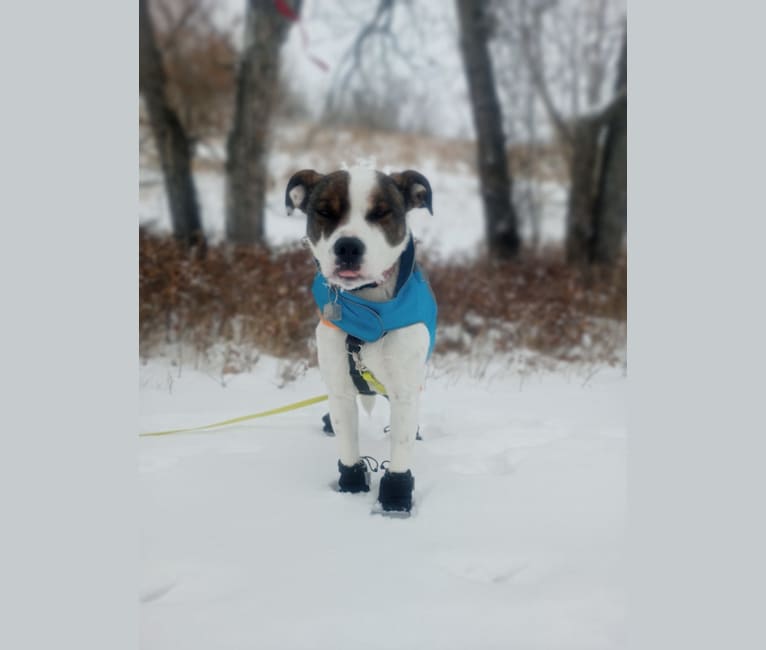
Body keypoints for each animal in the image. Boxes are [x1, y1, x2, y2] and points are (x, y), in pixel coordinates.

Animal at [286, 166, 438, 512]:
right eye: (325, 212)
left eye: (381, 213)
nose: (348, 247)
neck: (368, 310)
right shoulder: (341, 389)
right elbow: (347, 443)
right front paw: (351, 485)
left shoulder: (405, 391)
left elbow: (401, 446)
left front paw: (395, 500)